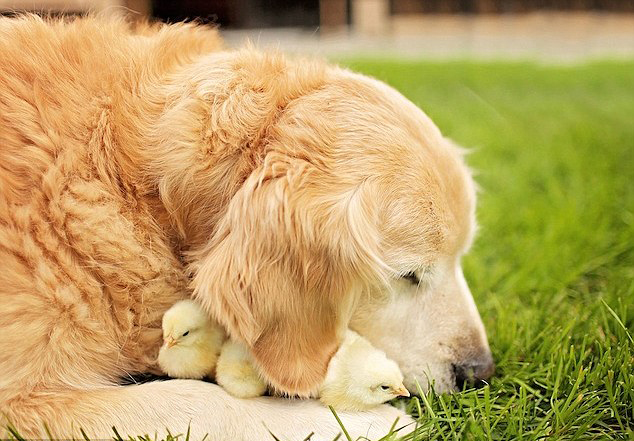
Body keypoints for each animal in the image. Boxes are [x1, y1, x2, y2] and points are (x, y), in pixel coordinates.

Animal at [0, 14, 494, 440]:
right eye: (408, 275)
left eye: (460, 259)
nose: (481, 374)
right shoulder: (19, 401)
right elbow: (195, 401)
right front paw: (359, 422)